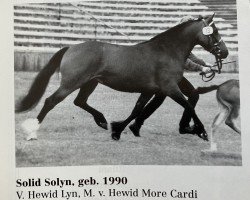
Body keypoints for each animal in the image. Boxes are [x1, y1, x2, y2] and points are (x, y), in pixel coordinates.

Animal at [15, 13, 229, 141]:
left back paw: (102, 121)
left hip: (89, 83)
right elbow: (189, 106)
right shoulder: (170, 88)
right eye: (215, 32)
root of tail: (71, 47)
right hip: (72, 83)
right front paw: (201, 131)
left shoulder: (150, 90)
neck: (167, 51)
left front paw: (117, 130)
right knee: (51, 101)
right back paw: (32, 132)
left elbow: (137, 110)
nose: (225, 53)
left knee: (79, 101)